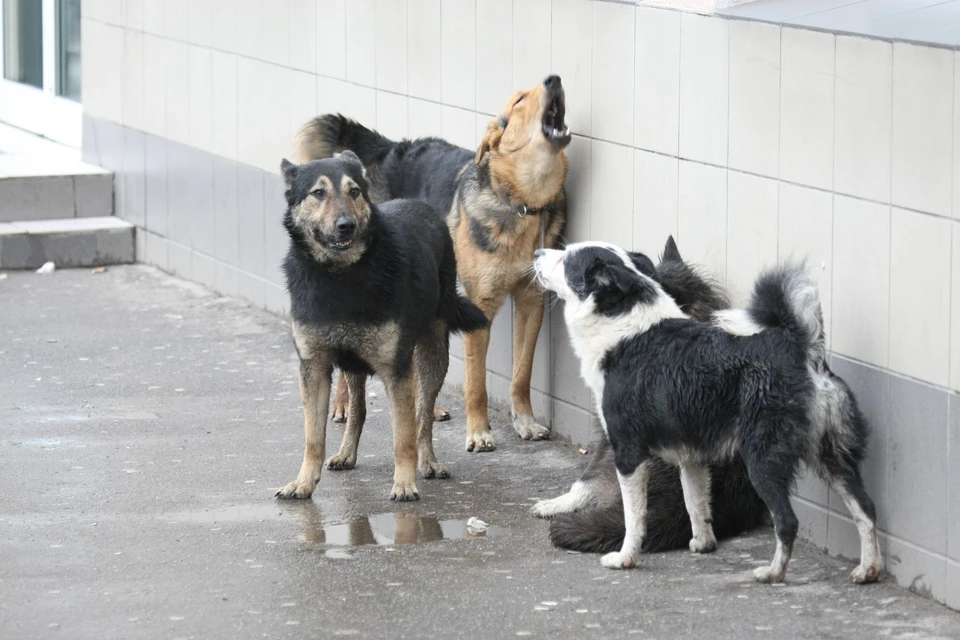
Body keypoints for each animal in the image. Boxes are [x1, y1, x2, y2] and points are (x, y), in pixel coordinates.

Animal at [276, 152, 488, 502]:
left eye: (354, 191)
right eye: (318, 193)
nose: (345, 225)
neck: (340, 276)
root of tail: (419, 204)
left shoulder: (396, 370)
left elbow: (403, 435)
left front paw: (404, 483)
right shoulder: (314, 369)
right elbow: (313, 437)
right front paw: (303, 482)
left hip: (432, 355)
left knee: (422, 415)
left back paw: (428, 462)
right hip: (354, 363)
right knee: (358, 409)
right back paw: (346, 453)